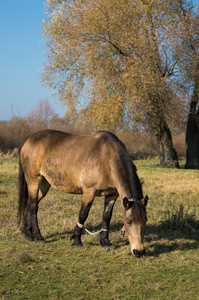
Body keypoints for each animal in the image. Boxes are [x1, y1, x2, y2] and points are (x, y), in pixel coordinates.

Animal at [17, 129, 148, 258]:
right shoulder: (89, 191)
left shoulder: (112, 195)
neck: (107, 157)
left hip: (44, 184)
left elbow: (106, 216)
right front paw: (76, 241)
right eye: (128, 221)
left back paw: (28, 234)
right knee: (33, 206)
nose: (139, 251)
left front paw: (105, 241)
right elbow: (83, 214)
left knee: (30, 203)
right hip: (34, 180)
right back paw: (38, 237)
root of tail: (30, 138)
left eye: (145, 220)